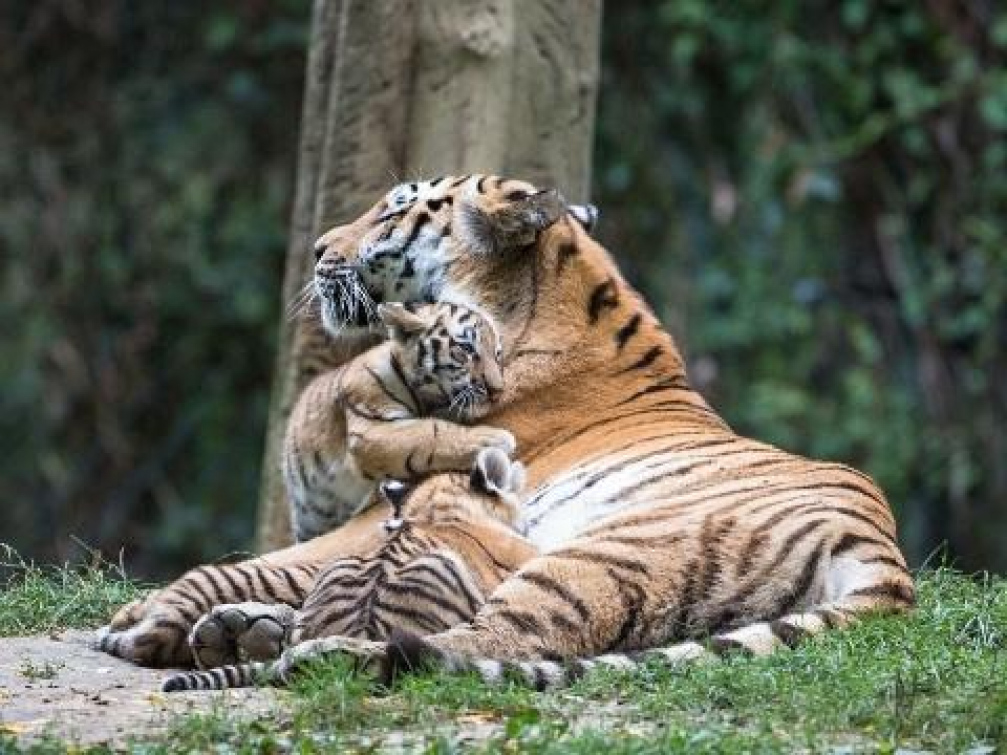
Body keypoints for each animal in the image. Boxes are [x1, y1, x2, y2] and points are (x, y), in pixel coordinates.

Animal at [96, 174, 914, 684]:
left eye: (392, 212)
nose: (321, 249)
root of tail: (884, 553)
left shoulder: (380, 517)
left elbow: (238, 565)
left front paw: (140, 621)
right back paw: (249, 632)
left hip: (601, 552)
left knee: (470, 642)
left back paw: (304, 653)